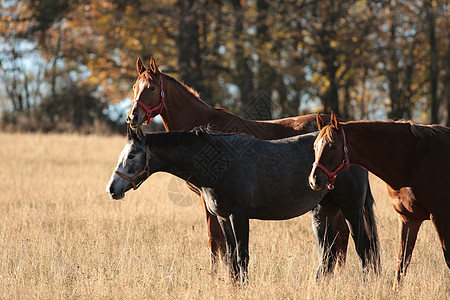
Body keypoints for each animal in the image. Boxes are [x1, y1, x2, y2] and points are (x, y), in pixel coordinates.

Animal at [106, 127, 380, 284]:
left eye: (132, 155)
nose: (112, 189)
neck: (219, 163)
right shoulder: (223, 217)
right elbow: (230, 258)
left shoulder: (239, 216)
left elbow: (241, 256)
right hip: (323, 212)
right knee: (328, 254)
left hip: (351, 210)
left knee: (364, 249)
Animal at [125, 57, 370, 274]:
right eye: (135, 87)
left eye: (152, 88)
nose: (132, 117)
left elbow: (215, 240)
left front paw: (216, 274)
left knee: (343, 238)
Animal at [310, 112, 450, 284]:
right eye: (315, 146)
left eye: (333, 146)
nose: (314, 180)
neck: (413, 159)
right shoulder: (409, 218)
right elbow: (401, 263)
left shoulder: (440, 217)